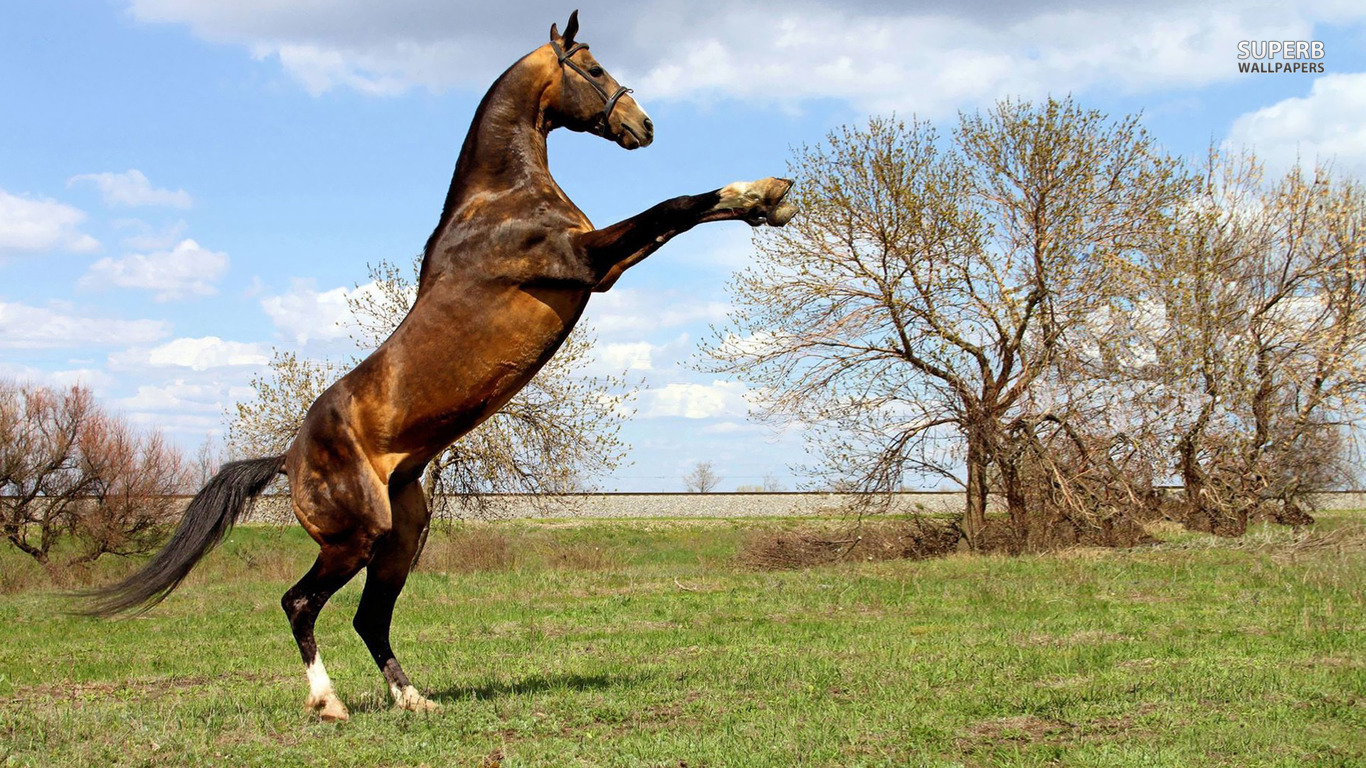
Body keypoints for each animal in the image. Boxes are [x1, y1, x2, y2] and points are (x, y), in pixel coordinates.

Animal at [85, 10, 797, 716]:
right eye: (594, 69)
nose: (643, 126)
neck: (500, 201)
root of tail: (286, 457)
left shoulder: (605, 268)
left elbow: (680, 217)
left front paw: (769, 202)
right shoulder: (585, 261)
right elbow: (674, 207)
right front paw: (766, 192)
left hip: (402, 536)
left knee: (369, 617)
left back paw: (413, 699)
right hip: (355, 536)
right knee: (300, 602)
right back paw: (329, 702)